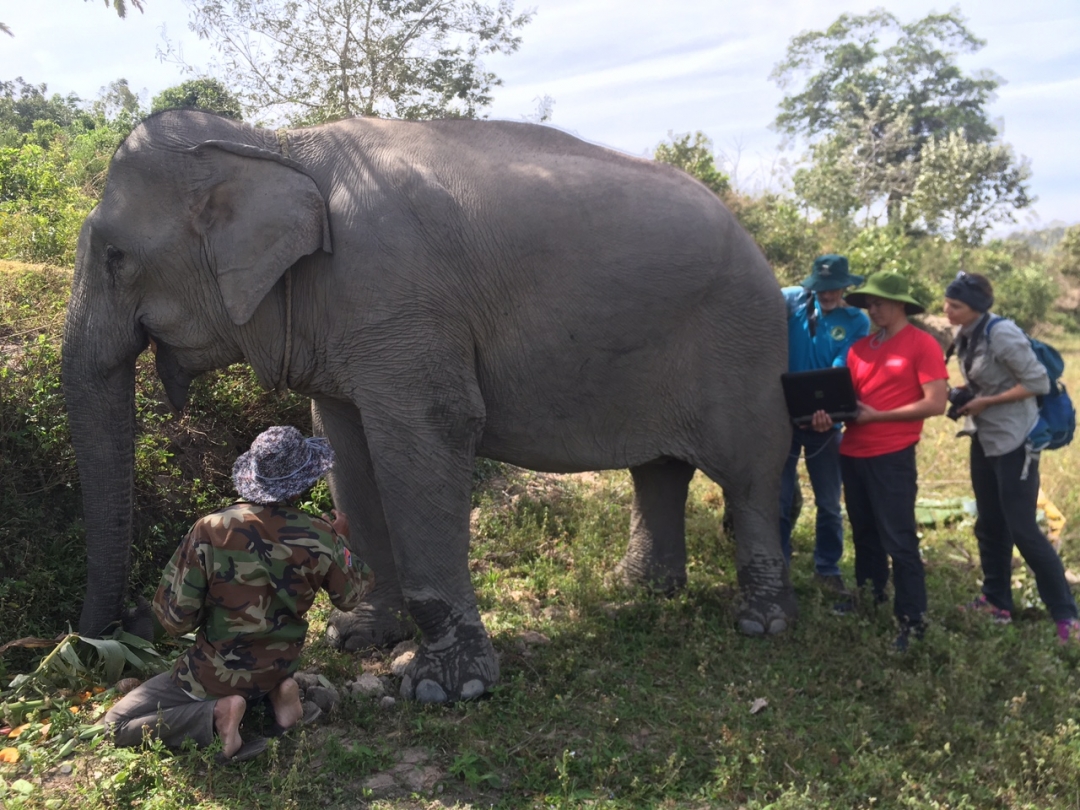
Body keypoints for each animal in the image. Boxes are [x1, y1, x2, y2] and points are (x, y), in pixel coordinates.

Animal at [63, 109, 799, 704]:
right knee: (659, 467)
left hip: (743, 342)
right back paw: (639, 591)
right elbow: (344, 445)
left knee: (749, 471)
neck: (275, 144)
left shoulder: (401, 307)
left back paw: (760, 622)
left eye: (117, 257)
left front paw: (444, 688)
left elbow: (426, 436)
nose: (99, 642)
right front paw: (358, 636)